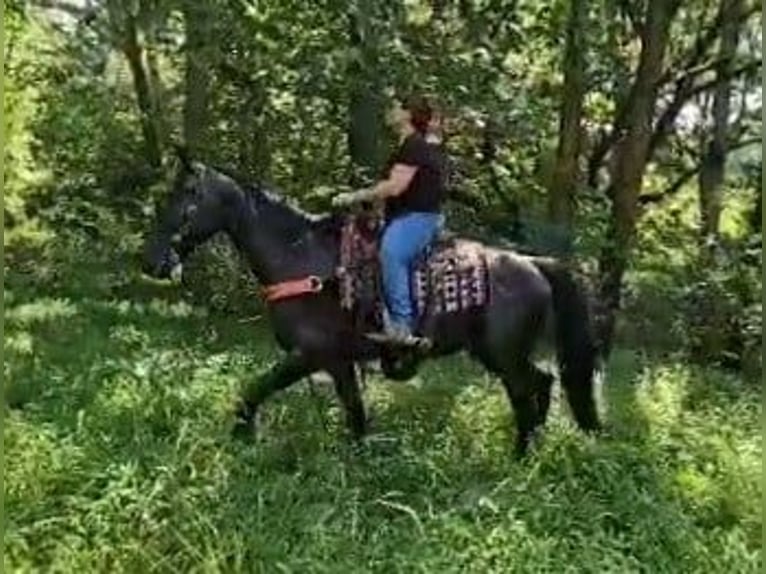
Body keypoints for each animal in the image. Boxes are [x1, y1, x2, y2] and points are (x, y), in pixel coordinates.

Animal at [141, 153, 604, 460]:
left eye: (186, 196)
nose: (153, 261)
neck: (301, 259)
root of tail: (533, 263)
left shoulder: (308, 354)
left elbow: (254, 389)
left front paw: (239, 434)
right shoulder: (337, 360)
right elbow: (355, 413)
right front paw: (359, 459)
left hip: (502, 352)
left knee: (527, 393)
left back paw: (519, 457)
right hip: (498, 353)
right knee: (542, 384)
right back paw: (533, 451)